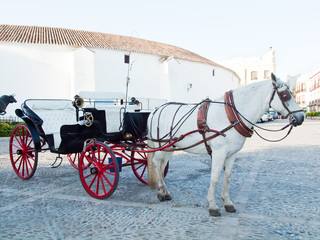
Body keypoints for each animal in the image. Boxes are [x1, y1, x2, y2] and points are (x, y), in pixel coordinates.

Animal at [146, 73, 304, 216]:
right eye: (285, 95)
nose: (301, 117)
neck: (232, 114)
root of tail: (155, 110)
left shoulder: (232, 154)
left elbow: (227, 176)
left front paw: (227, 203)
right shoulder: (218, 153)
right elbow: (215, 177)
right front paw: (212, 205)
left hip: (170, 146)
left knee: (162, 164)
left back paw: (164, 191)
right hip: (160, 144)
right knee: (156, 162)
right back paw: (161, 192)